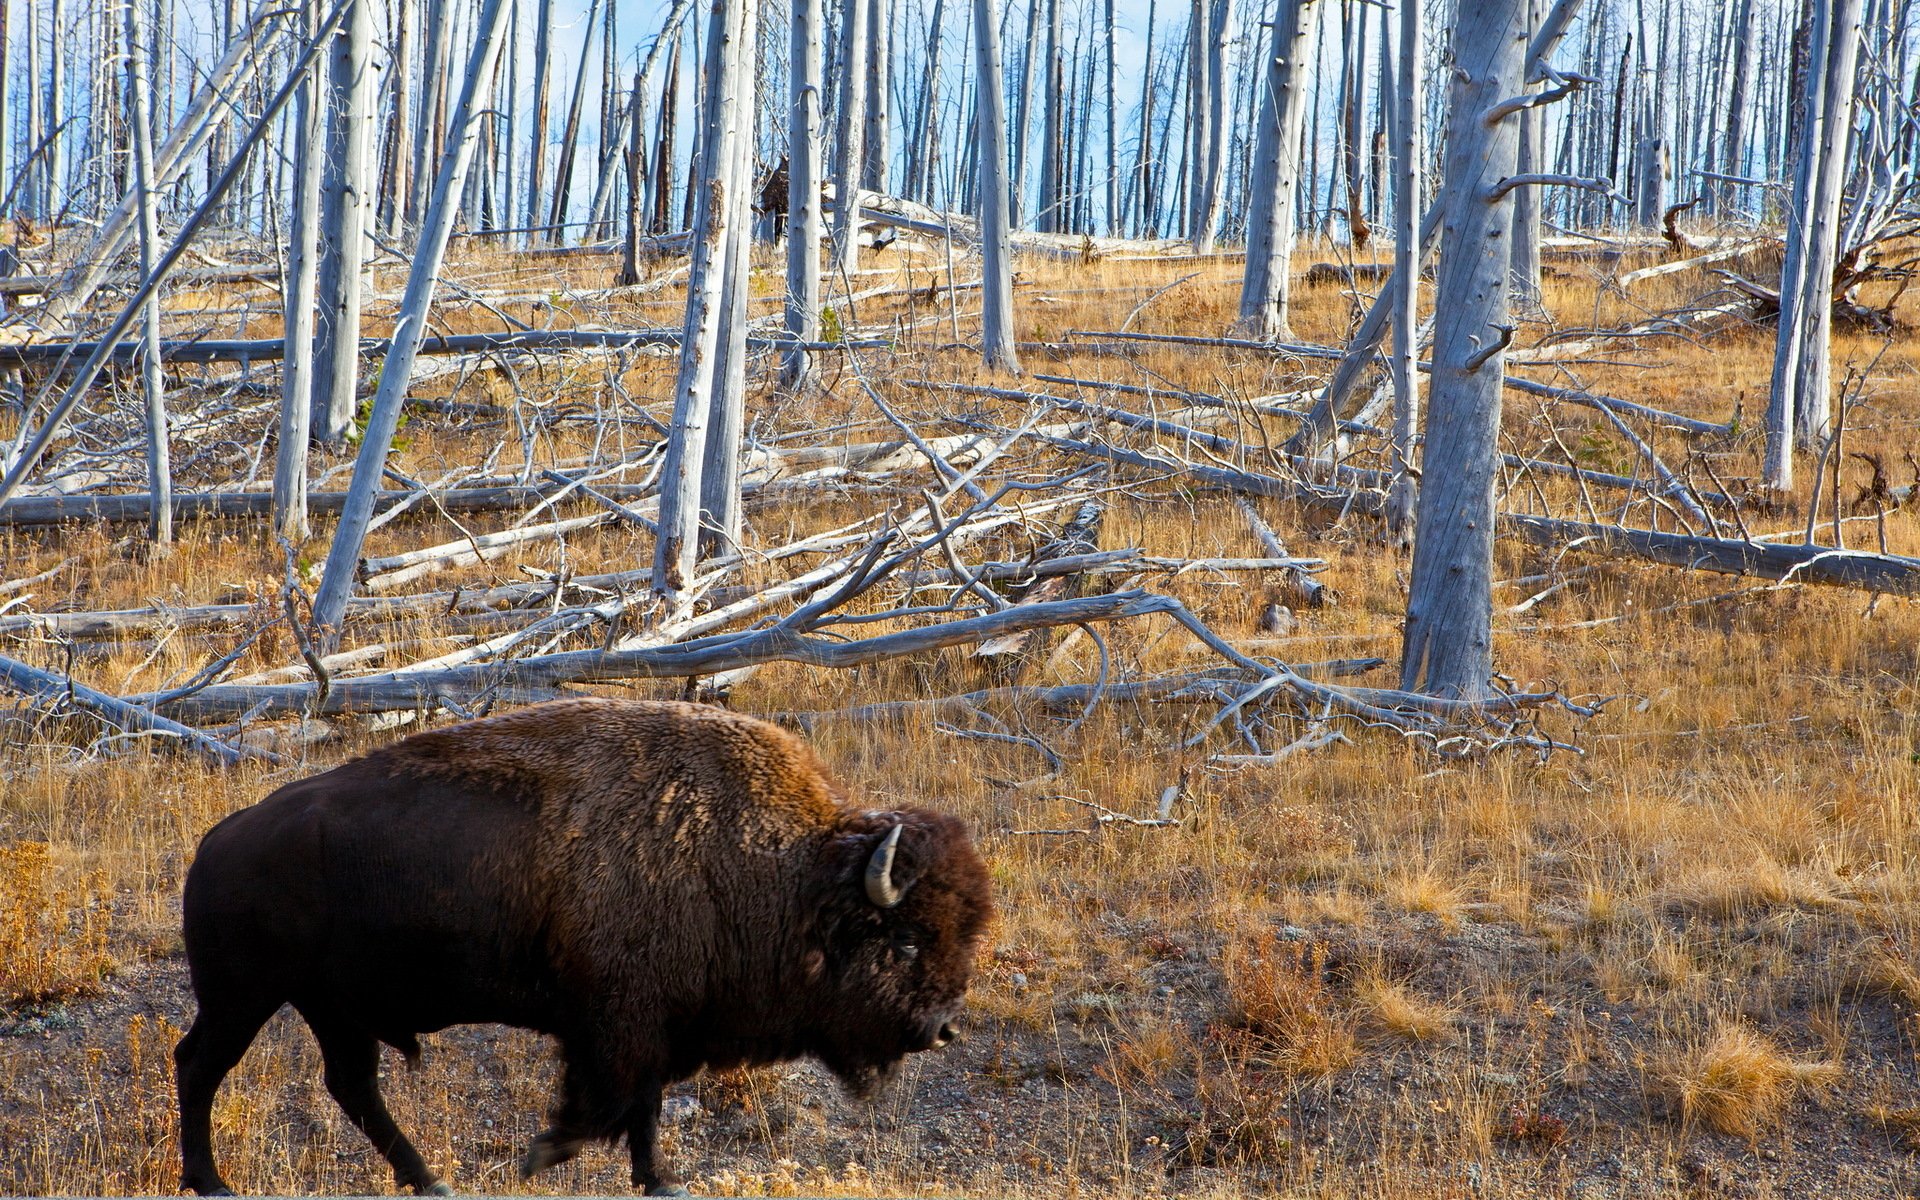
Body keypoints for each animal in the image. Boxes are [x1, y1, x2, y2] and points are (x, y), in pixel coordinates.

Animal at [175, 698, 993, 1195]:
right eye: (906, 939)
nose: (941, 1028)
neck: (784, 869)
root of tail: (217, 841)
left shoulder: (653, 1026)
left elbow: (643, 1109)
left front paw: (656, 1178)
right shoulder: (619, 1024)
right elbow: (613, 1103)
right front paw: (544, 1155)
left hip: (331, 1009)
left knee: (351, 1086)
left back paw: (429, 1179)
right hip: (245, 996)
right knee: (201, 1065)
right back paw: (211, 1181)